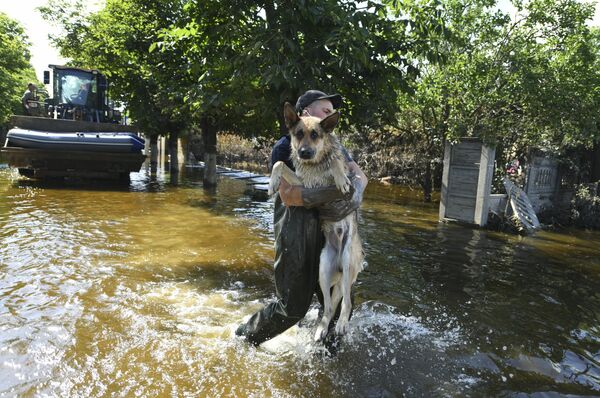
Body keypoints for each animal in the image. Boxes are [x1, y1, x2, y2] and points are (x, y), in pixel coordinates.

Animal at [270, 102, 364, 342]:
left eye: (315, 135)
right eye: (298, 134)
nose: (304, 153)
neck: (315, 163)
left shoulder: (345, 176)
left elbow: (337, 163)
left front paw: (339, 177)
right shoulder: (303, 185)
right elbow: (280, 163)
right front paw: (272, 183)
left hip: (348, 261)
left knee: (346, 304)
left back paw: (341, 325)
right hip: (323, 270)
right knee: (330, 307)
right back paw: (322, 329)